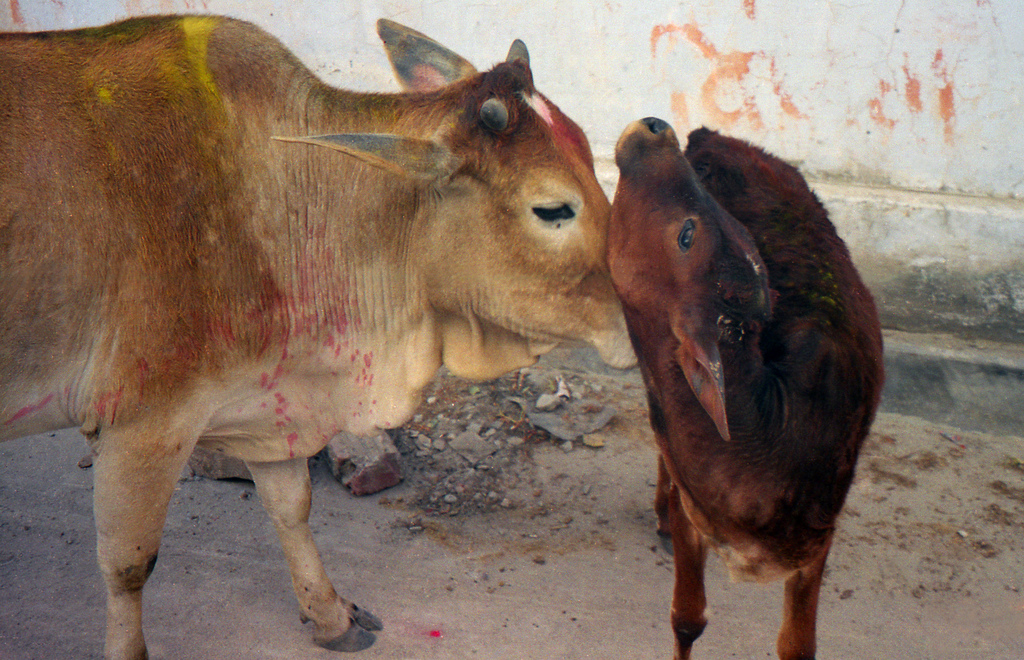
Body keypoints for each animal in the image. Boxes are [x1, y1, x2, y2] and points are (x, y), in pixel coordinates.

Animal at [0, 15, 634, 658]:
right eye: (552, 209)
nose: (642, 318)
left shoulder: (271, 396)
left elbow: (292, 509)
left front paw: (330, 614)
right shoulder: (142, 424)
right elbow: (127, 567)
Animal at [602, 119, 884, 658]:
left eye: (688, 234)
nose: (657, 127)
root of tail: (712, 134)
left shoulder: (816, 544)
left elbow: (797, 645)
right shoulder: (694, 514)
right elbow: (687, 619)